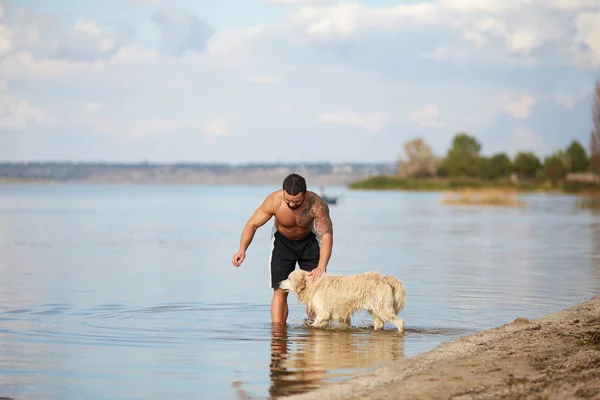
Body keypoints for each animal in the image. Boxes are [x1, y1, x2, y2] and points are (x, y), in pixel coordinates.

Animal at [278, 270, 406, 332]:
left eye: (288, 278)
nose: (278, 283)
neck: (312, 285)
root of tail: (385, 278)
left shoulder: (323, 314)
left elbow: (314, 325)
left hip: (382, 308)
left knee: (400, 322)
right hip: (374, 309)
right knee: (379, 324)